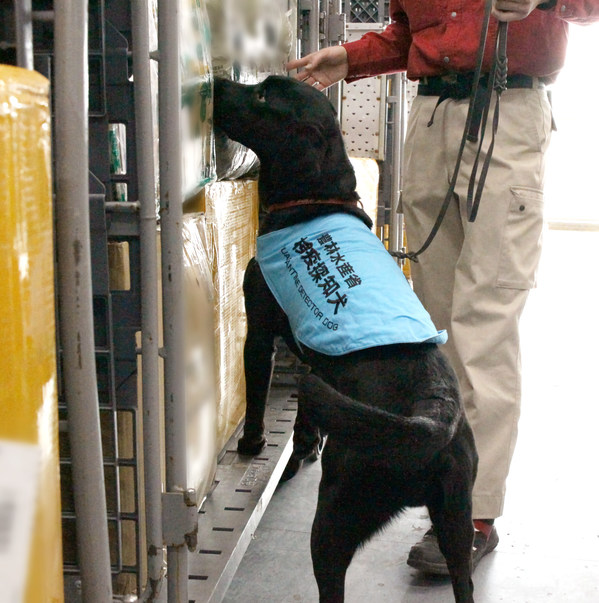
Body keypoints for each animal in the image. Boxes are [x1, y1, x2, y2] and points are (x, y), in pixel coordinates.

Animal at [213, 75, 480, 603]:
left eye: (262, 95)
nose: (213, 82)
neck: (312, 201)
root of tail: (432, 416)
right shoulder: (312, 362)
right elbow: (301, 410)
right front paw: (301, 446)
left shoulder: (260, 332)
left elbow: (257, 397)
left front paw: (252, 445)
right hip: (456, 522)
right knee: (463, 575)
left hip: (335, 515)